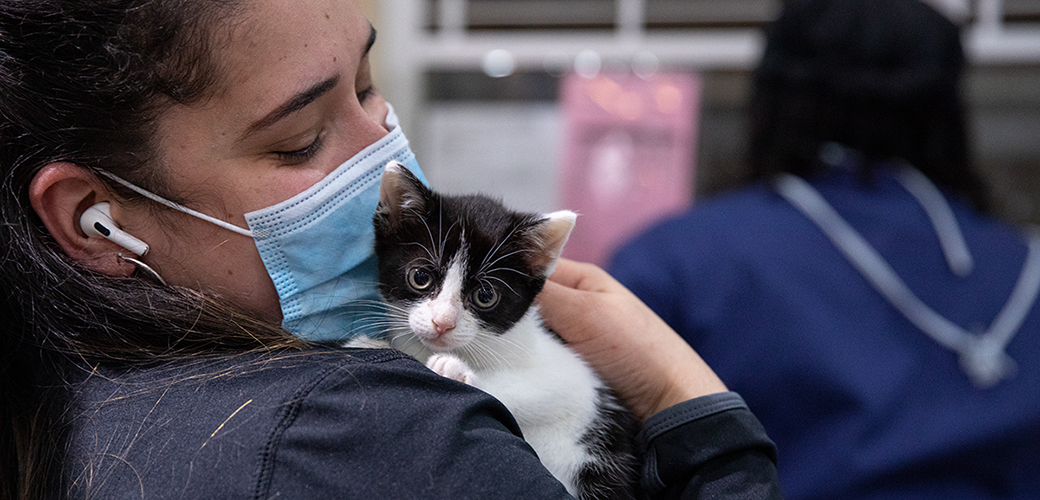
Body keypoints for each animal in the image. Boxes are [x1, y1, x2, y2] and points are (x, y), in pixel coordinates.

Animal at [370, 162, 636, 496]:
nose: (442, 322)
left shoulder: (577, 383)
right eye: (420, 277)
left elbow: (532, 388)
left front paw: (456, 372)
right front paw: (370, 344)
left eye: (485, 296)